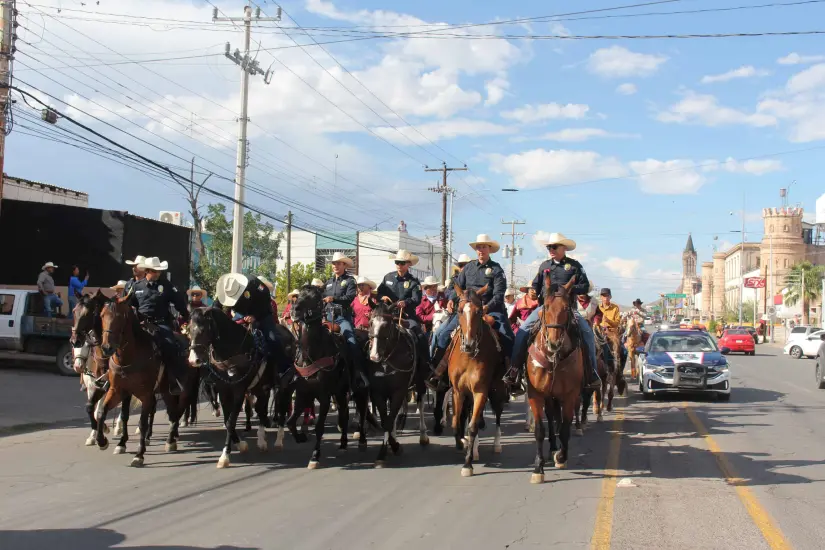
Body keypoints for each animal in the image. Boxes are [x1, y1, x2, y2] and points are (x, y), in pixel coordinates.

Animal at [96, 298, 196, 470]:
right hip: (165, 391)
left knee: (177, 412)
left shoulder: (145, 395)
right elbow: (106, 412)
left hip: (182, 391)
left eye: (121, 317)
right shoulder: (119, 391)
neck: (129, 357)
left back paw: (171, 440)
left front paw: (139, 455)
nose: (107, 348)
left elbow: (142, 423)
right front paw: (105, 441)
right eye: (102, 315)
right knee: (172, 411)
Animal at [187, 306, 276, 470]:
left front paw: (225, 456)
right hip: (259, 387)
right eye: (189, 329)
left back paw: (267, 438)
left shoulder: (239, 391)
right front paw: (240, 444)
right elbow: (228, 419)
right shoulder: (224, 391)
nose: (193, 360)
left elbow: (231, 421)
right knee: (260, 408)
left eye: (203, 330)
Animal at [368, 304, 432, 468]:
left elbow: (389, 420)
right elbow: (387, 420)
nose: (374, 356)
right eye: (371, 323)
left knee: (421, 405)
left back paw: (423, 436)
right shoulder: (379, 392)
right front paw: (390, 446)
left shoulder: (398, 391)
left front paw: (389, 449)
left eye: (386, 325)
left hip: (420, 383)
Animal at [448, 284, 506, 478]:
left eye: (479, 311)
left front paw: (467, 464)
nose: (469, 344)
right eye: (459, 310)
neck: (469, 357)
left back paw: (496, 444)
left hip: (498, 390)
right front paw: (464, 444)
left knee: (497, 414)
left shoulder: (481, 391)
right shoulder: (458, 391)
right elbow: (457, 422)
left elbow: (472, 427)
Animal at [524, 278, 584, 486]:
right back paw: (551, 448)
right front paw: (538, 468)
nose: (554, 343)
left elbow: (565, 428)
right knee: (550, 418)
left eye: (566, 308)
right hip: (549, 396)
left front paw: (561, 457)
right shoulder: (535, 394)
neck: (553, 358)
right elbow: (540, 430)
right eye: (546, 307)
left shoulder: (570, 395)